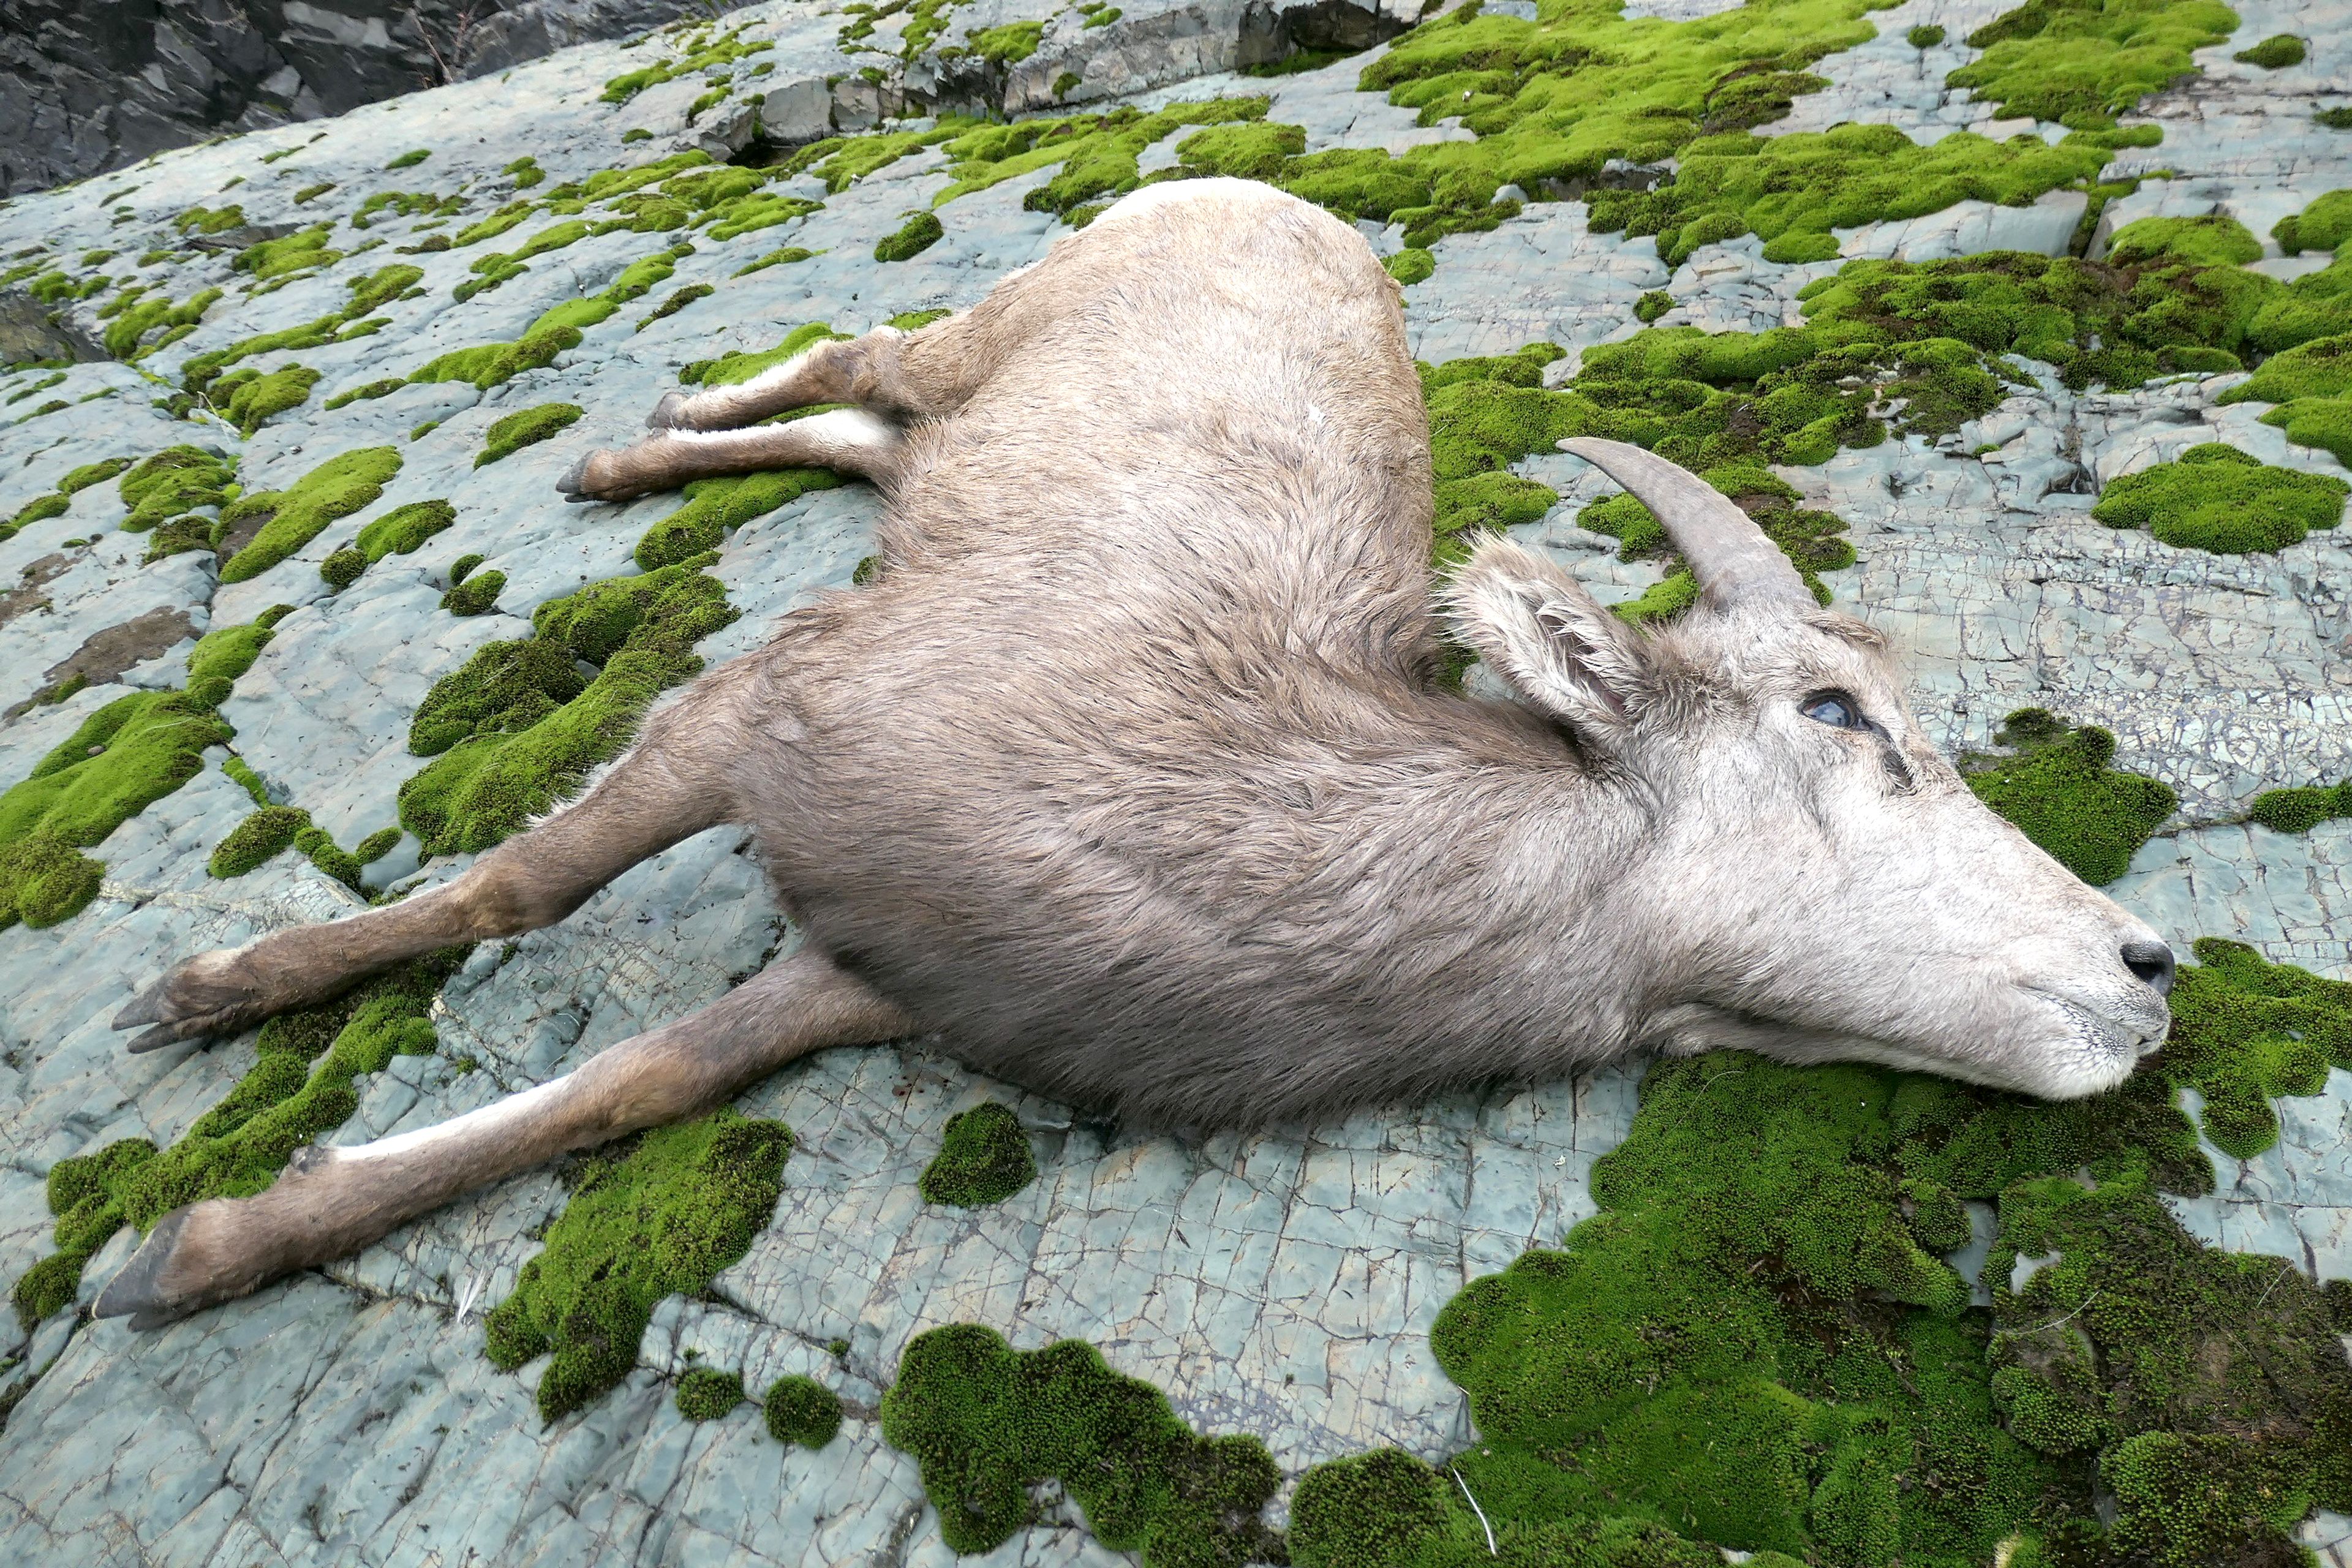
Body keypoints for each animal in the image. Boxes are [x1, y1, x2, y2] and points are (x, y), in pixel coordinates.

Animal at [101, 187, 2173, 1335]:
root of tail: (1263, 189)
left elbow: (626, 1091)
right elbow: (528, 882)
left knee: (868, 442)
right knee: (859, 356)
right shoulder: (761, 720)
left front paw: (205, 1247)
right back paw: (629, 447)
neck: (1212, 816)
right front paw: (205, 999)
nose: (2149, 968)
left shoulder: (868, 976)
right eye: (1836, 714)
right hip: (984, 328)